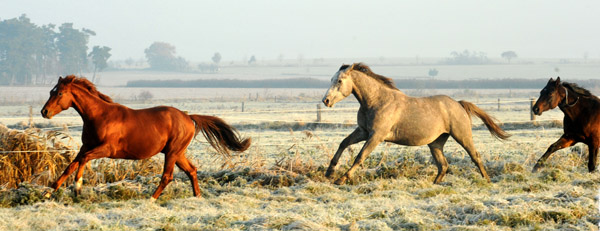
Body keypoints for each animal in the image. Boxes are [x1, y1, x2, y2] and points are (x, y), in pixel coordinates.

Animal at [40, 76, 251, 200]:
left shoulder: (106, 149)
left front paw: (77, 188)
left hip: (172, 152)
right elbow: (70, 166)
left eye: (59, 92)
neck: (99, 116)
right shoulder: (87, 146)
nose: (44, 112)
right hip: (178, 153)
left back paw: (151, 199)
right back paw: (197, 197)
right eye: (51, 91)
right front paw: (48, 191)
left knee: (167, 176)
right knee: (192, 170)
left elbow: (82, 161)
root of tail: (188, 117)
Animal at [322, 62, 508, 184]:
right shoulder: (363, 131)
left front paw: (341, 179)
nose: (326, 100)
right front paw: (329, 172)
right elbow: (343, 143)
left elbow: (360, 156)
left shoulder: (376, 136)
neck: (376, 101)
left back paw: (487, 180)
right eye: (331, 79)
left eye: (339, 81)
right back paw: (433, 185)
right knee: (443, 165)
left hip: (462, 135)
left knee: (475, 156)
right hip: (436, 143)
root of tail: (458, 103)